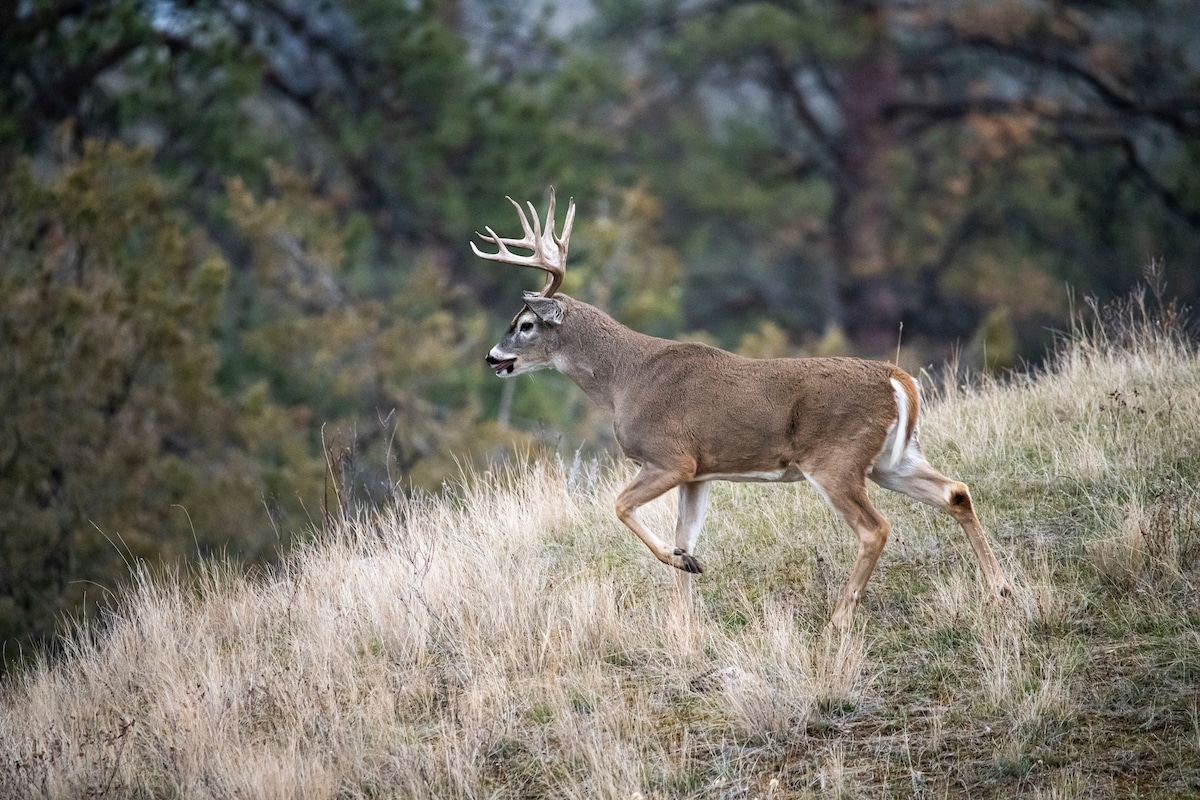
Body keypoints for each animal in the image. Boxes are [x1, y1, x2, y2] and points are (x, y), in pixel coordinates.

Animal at [475, 189, 1010, 629]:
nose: (492, 358)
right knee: (955, 492)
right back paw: (999, 590)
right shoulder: (699, 472)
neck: (624, 378)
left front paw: (683, 569)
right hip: (891, 459)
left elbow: (621, 506)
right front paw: (683, 615)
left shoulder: (670, 458)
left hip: (835, 458)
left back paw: (839, 618)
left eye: (524, 324)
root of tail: (898, 378)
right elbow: (685, 535)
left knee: (875, 528)